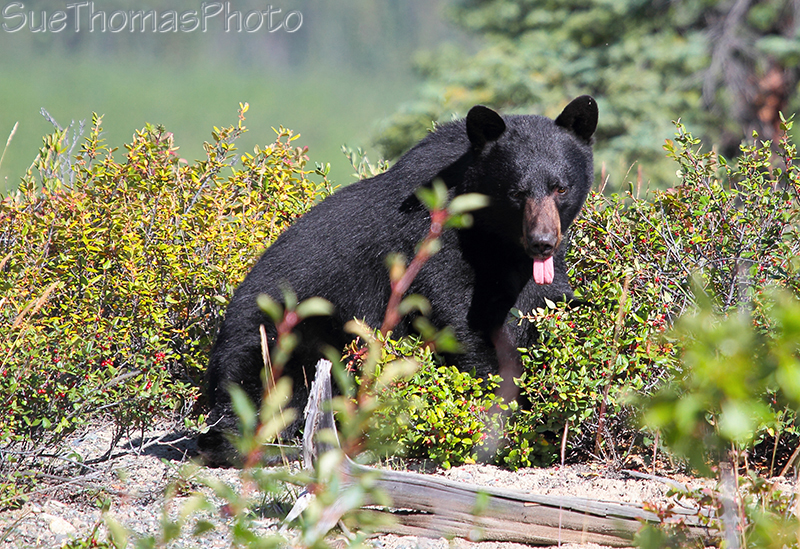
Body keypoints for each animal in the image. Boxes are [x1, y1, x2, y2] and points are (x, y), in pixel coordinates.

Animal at [198, 96, 598, 466]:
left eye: (561, 188)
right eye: (517, 192)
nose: (542, 241)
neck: (491, 234)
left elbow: (544, 303)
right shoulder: (433, 239)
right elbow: (460, 316)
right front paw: (505, 409)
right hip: (284, 335)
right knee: (259, 393)